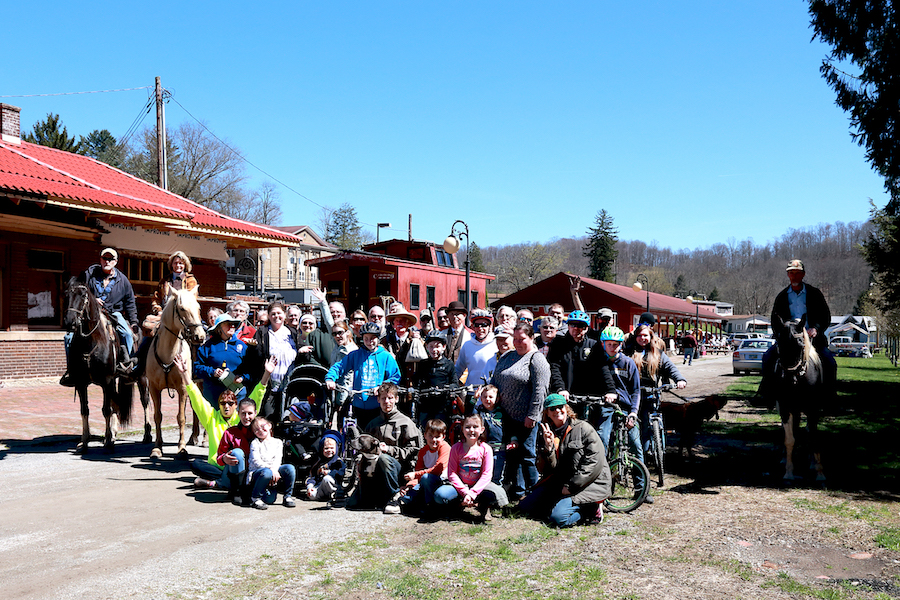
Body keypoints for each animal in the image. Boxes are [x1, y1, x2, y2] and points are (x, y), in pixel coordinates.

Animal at [61, 278, 134, 452]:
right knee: (115, 404)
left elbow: (106, 410)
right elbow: (84, 410)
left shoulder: (106, 381)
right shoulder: (81, 383)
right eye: (67, 294)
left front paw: (107, 440)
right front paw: (85, 441)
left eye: (82, 295)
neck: (91, 341)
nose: (70, 322)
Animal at [146, 288, 206, 458]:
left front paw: (182, 447)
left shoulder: (183, 389)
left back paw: (203, 439)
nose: (200, 336)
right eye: (182, 308)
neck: (168, 354)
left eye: (198, 308)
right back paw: (194, 437)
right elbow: (157, 416)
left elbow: (181, 418)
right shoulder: (153, 388)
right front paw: (157, 447)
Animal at [768, 314, 828, 482]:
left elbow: (813, 437)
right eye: (779, 345)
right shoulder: (785, 408)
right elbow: (790, 439)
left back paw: (812, 462)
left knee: (808, 431)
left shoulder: (813, 410)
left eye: (801, 344)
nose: (789, 377)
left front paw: (820, 472)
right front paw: (789, 472)